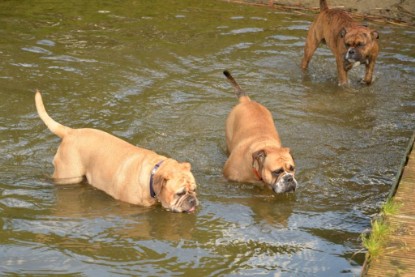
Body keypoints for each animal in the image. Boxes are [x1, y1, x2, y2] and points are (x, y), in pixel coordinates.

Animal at [33, 90, 198, 211]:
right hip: (68, 174)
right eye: (180, 193)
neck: (152, 176)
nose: (193, 200)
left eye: (194, 189)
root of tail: (70, 132)